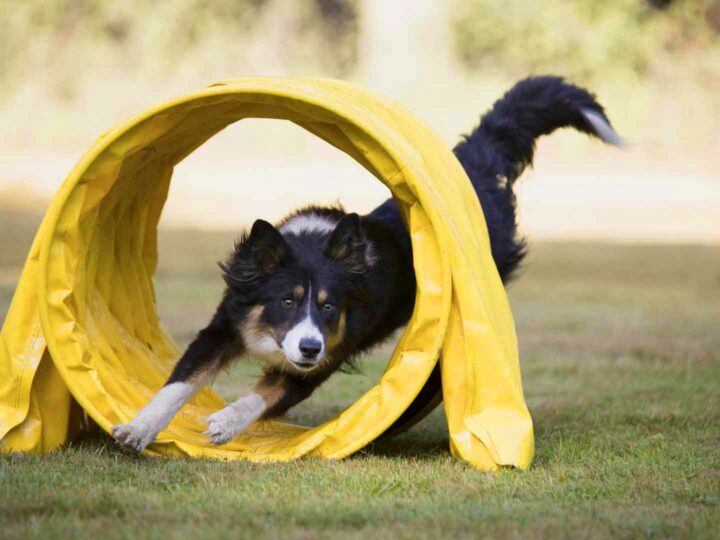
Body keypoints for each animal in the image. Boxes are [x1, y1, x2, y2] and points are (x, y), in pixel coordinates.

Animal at [111, 76, 620, 452]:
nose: (309, 347)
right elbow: (178, 383)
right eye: (287, 302)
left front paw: (224, 422)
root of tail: (474, 171)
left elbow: (263, 395)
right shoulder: (226, 323)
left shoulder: (324, 359)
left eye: (328, 307)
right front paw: (138, 429)